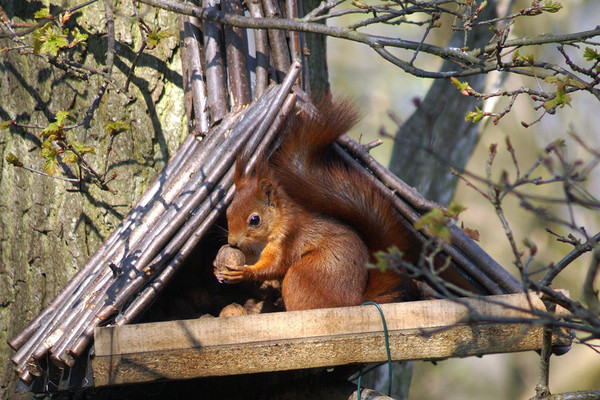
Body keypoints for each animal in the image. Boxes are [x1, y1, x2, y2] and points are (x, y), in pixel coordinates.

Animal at [216, 97, 422, 310]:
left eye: (254, 220)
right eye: (228, 212)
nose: (232, 242)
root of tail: (355, 302)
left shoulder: (290, 238)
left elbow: (276, 266)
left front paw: (243, 272)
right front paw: (217, 266)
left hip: (301, 275)